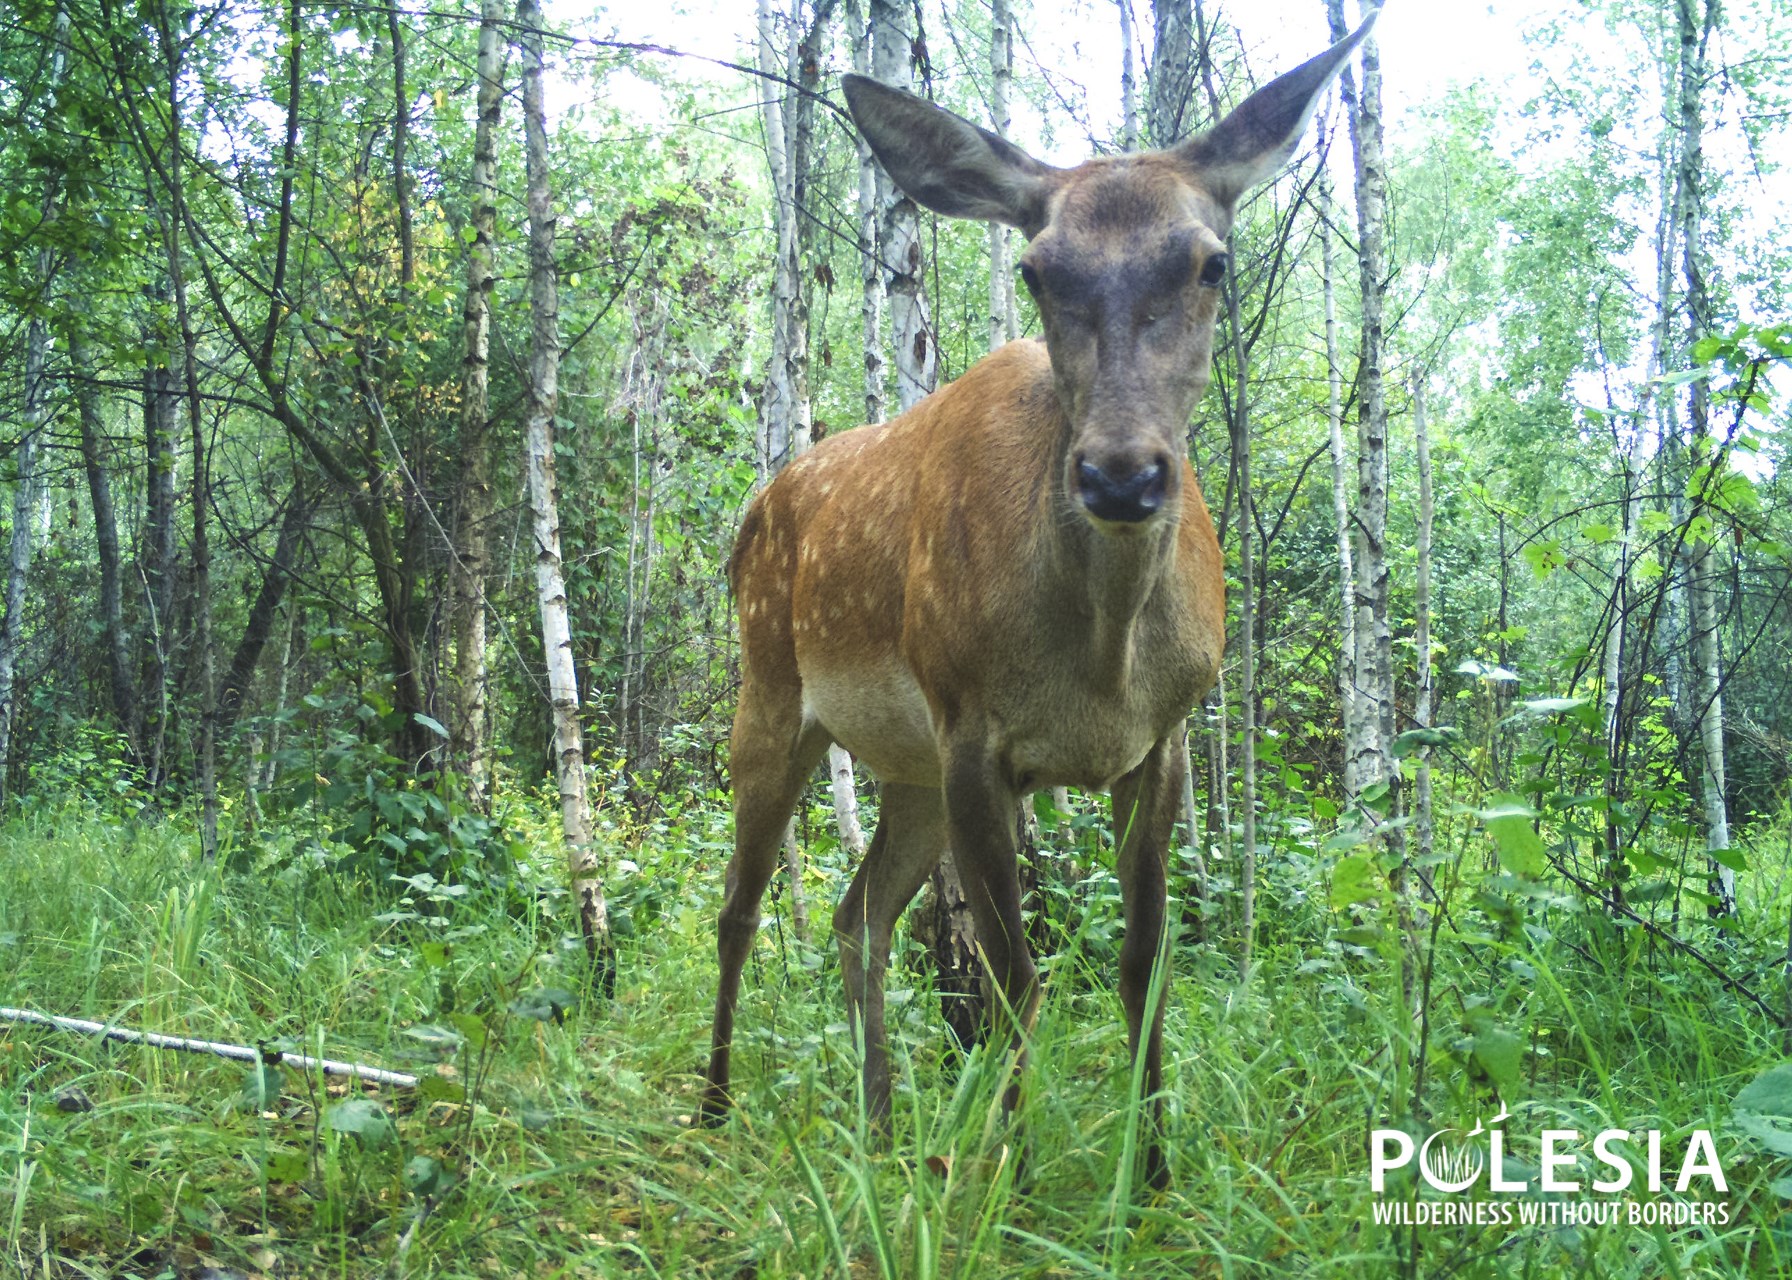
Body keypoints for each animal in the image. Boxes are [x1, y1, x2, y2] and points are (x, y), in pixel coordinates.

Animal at [698, 15, 1369, 1183]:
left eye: (1212, 261)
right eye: (1035, 267)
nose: (1120, 475)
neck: (1100, 659)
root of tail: (753, 511)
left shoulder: (1162, 739)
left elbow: (1144, 967)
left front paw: (1151, 1174)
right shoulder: (976, 734)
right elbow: (1016, 979)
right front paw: (1010, 1170)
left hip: (907, 765)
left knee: (856, 917)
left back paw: (881, 1127)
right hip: (776, 692)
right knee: (740, 911)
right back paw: (718, 1105)